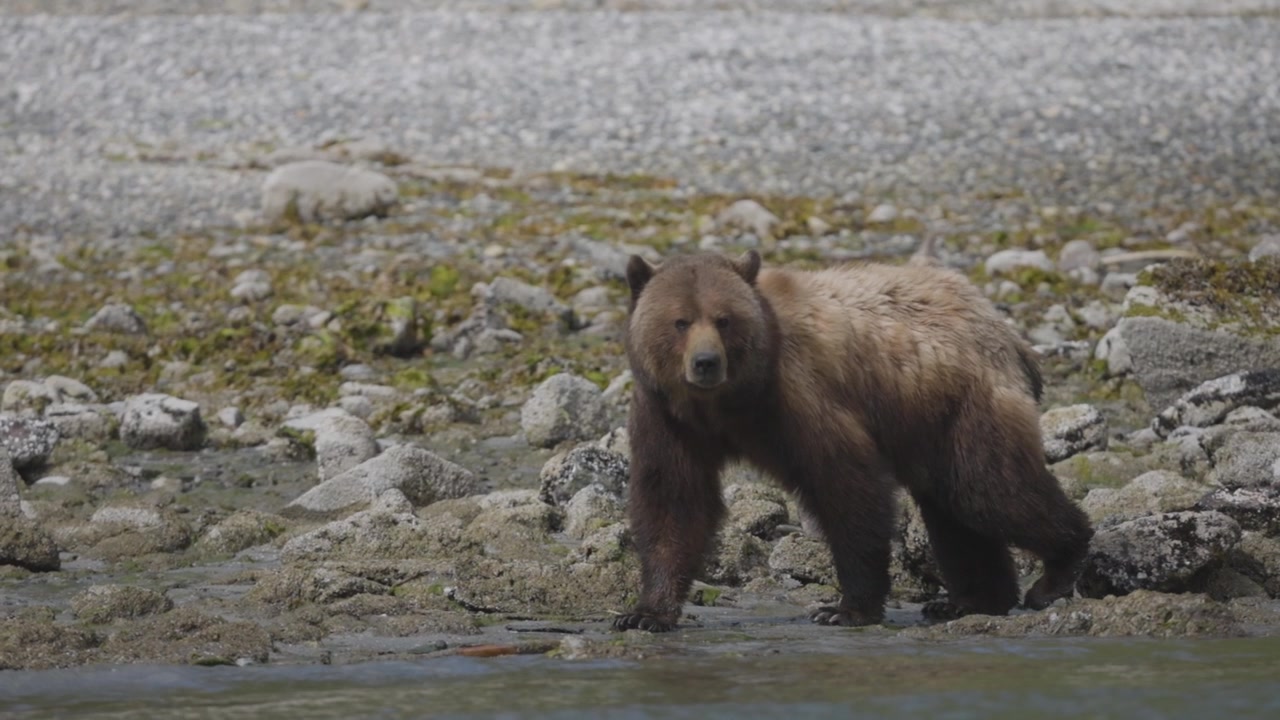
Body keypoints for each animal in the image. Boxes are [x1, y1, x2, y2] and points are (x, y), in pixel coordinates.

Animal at [612, 249, 1093, 632]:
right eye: (680, 321)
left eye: (724, 319)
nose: (706, 362)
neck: (725, 404)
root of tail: (1009, 333)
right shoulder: (667, 417)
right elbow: (673, 501)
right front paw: (645, 612)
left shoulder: (798, 398)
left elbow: (846, 485)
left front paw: (844, 608)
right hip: (935, 424)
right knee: (954, 510)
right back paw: (970, 601)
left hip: (966, 404)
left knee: (988, 491)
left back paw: (1057, 570)